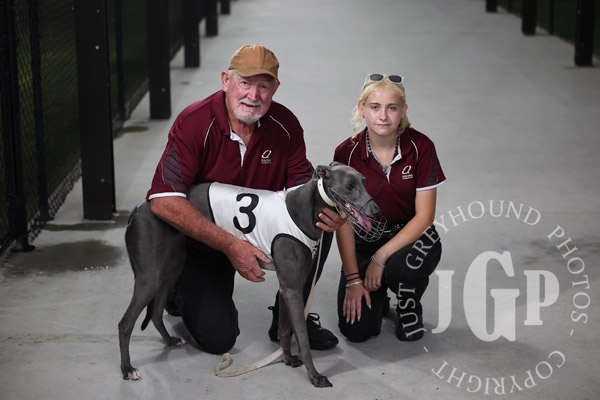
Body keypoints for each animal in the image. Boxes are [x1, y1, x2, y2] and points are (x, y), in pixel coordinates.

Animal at [118, 162, 383, 387]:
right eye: (349, 186)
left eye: (364, 181)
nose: (376, 210)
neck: (303, 209)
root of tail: (140, 207)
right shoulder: (293, 290)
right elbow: (303, 339)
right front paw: (315, 376)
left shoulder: (287, 288)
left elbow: (285, 329)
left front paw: (288, 359)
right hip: (150, 277)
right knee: (126, 323)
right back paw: (127, 369)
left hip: (172, 268)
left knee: (155, 313)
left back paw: (171, 341)